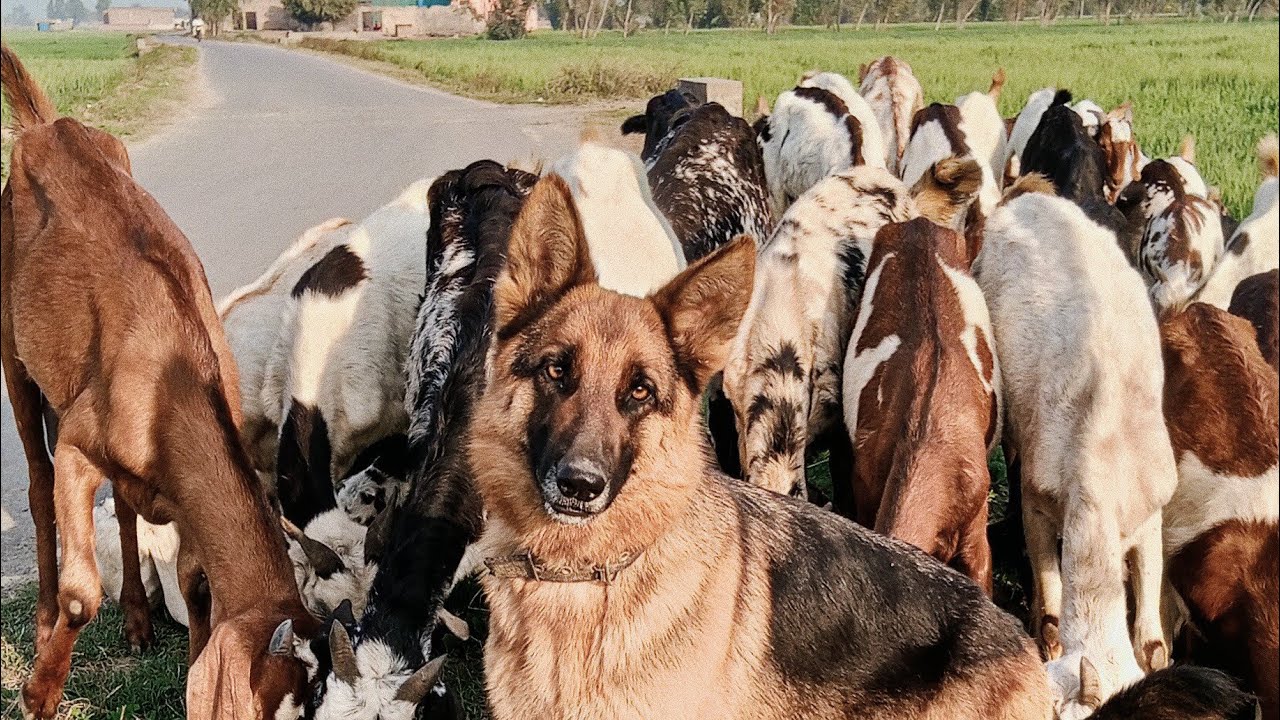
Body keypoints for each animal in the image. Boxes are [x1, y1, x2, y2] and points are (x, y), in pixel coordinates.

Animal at [1, 44, 317, 719]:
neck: (176, 380)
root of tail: (48, 125)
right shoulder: (78, 442)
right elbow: (80, 593)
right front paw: (39, 693)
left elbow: (195, 580)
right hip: (11, 342)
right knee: (38, 482)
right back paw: (42, 623)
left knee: (122, 506)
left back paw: (138, 621)